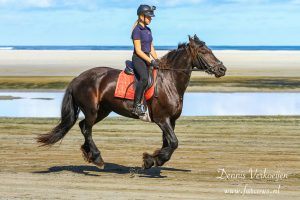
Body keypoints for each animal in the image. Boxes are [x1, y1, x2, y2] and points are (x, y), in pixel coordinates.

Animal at [36, 34, 226, 169]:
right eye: (204, 52)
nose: (222, 69)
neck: (169, 80)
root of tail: (77, 78)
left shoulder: (171, 120)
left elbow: (168, 143)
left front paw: (153, 159)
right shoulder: (162, 119)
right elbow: (174, 142)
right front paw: (153, 159)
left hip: (103, 110)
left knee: (83, 126)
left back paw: (89, 154)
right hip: (92, 110)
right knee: (87, 128)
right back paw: (97, 157)